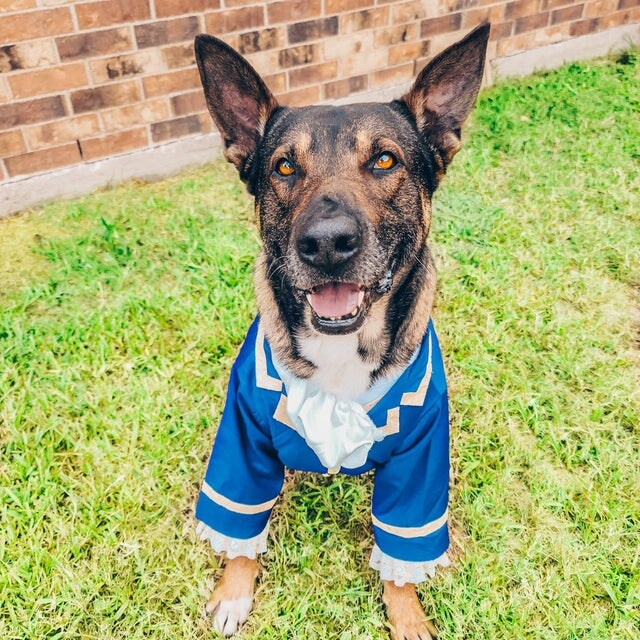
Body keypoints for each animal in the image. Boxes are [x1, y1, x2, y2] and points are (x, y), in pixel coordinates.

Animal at [192, 23, 488, 640]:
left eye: (384, 160)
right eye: (283, 167)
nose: (326, 243)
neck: (340, 347)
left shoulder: (420, 465)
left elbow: (401, 559)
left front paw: (406, 615)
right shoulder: (241, 443)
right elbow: (239, 533)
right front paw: (234, 592)